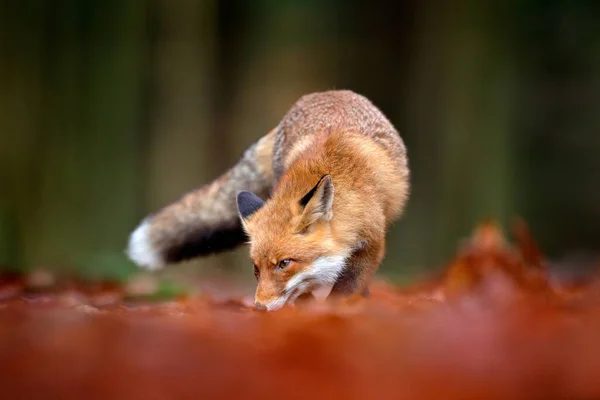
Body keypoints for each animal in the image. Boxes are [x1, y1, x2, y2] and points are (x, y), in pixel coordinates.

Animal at [125, 90, 408, 310]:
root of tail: (325, 92)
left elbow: (345, 290)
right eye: (255, 268)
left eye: (284, 263)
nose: (259, 308)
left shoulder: (371, 244)